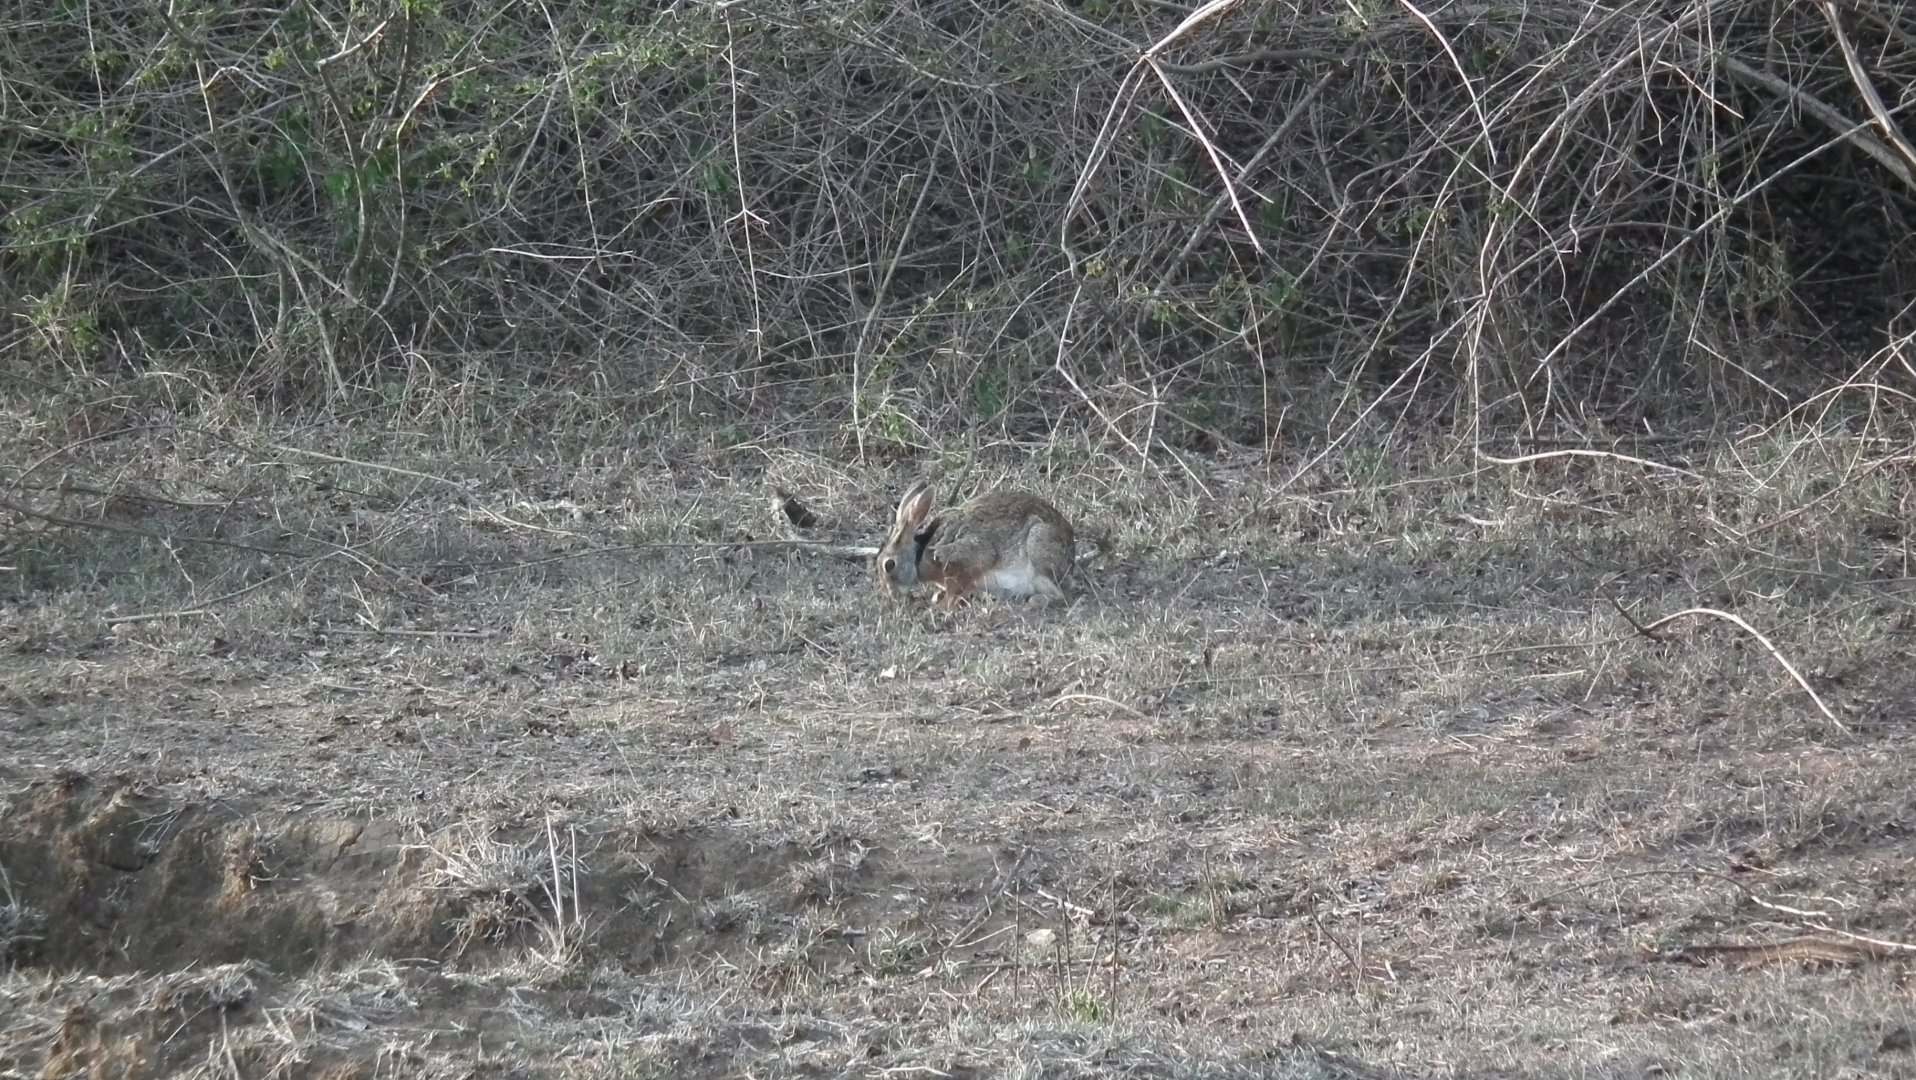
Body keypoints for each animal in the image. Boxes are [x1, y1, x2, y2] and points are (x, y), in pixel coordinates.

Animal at [875, 481, 1076, 608]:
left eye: (889, 565)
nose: (890, 596)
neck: (919, 554)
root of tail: (1071, 560)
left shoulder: (968, 560)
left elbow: (958, 586)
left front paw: (941, 608)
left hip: (1038, 543)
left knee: (1060, 595)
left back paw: (1034, 601)